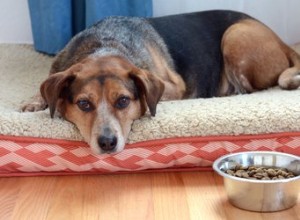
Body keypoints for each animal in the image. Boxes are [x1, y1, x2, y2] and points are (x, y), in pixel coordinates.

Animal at [22, 10, 300, 155]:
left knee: (251, 88)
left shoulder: (172, 86)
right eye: (84, 104)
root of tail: (281, 42)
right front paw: (35, 102)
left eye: (123, 101)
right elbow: (45, 87)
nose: (108, 143)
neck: (103, 44)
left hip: (235, 36)